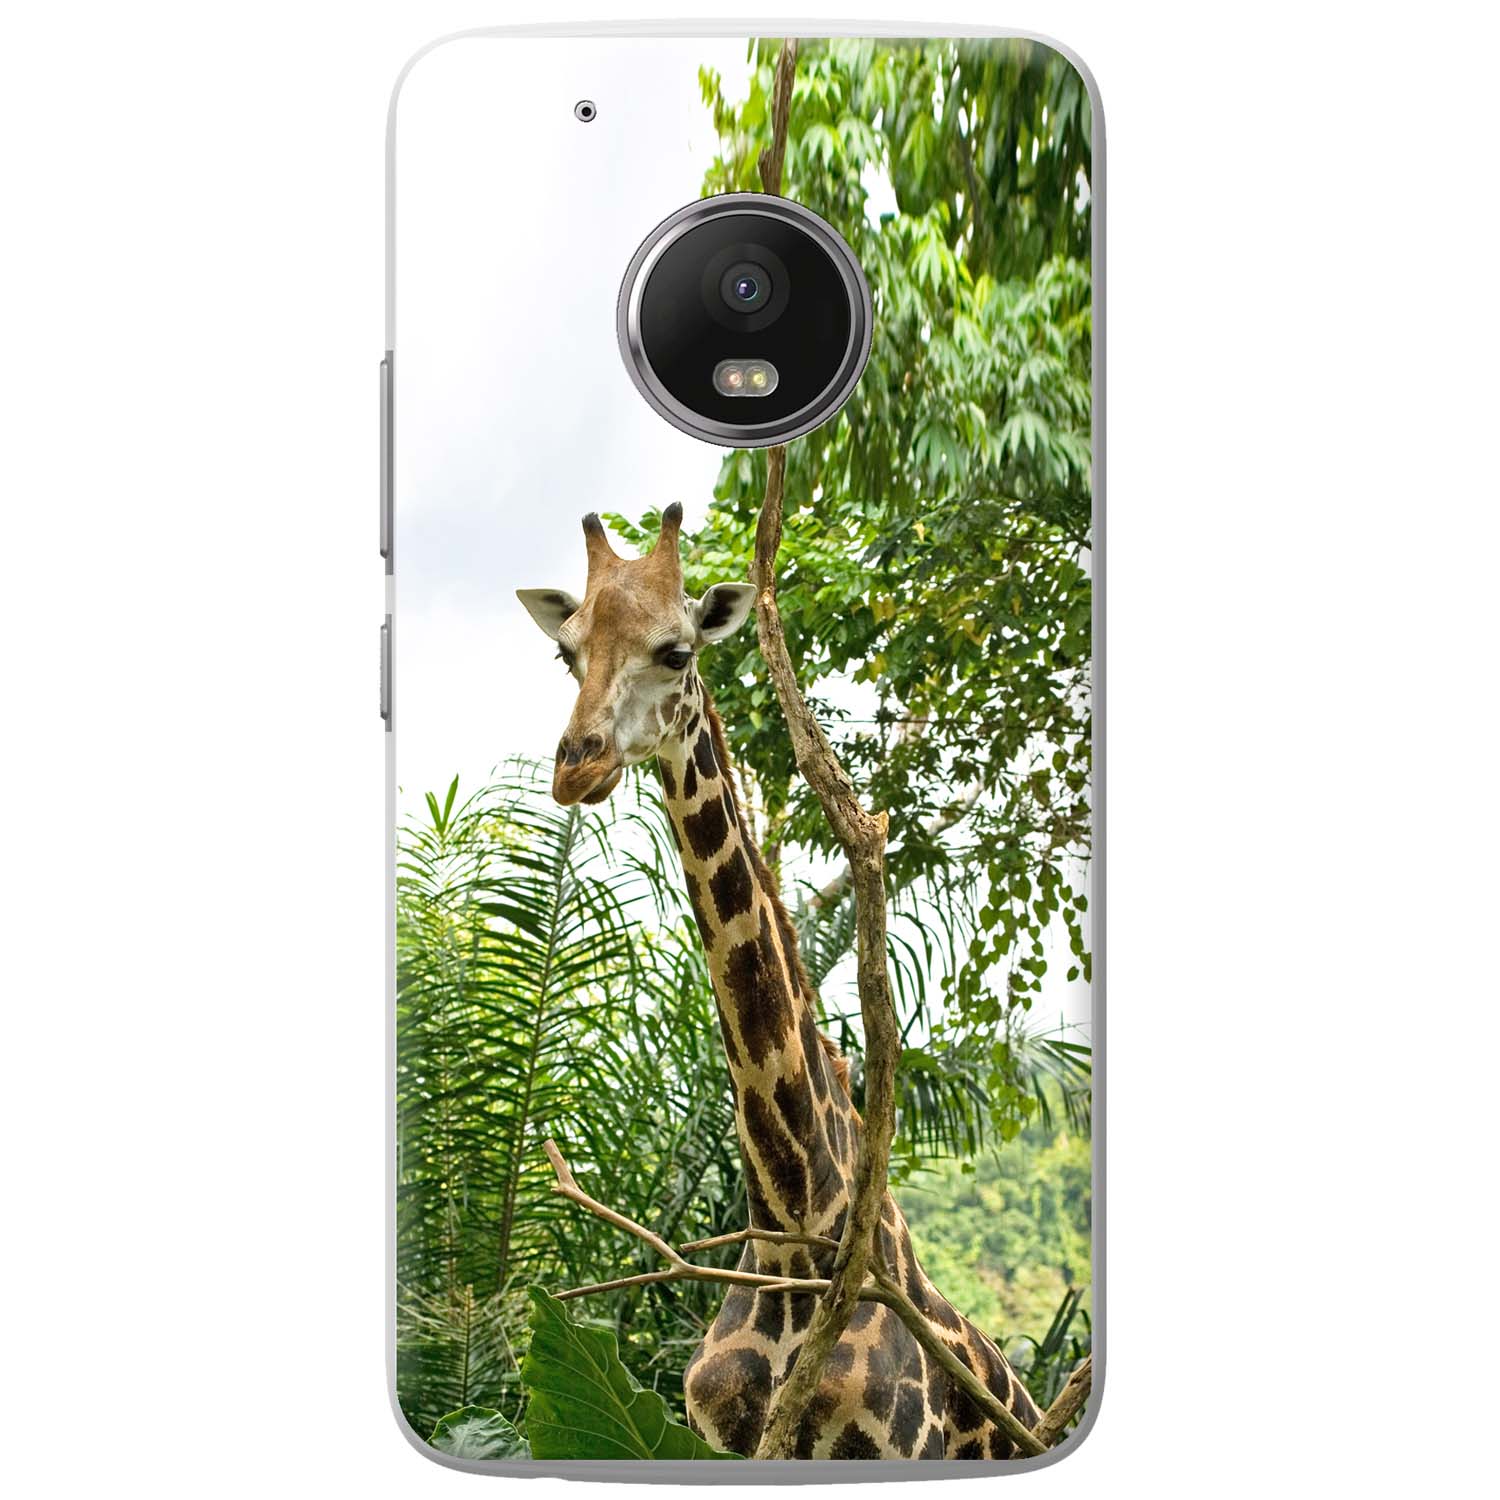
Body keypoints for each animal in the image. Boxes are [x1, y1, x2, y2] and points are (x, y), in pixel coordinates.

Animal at [517, 504, 1043, 1459]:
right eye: (566, 653)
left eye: (676, 650)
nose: (578, 764)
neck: (794, 1234)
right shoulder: (715, 1437)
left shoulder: (890, 1449)